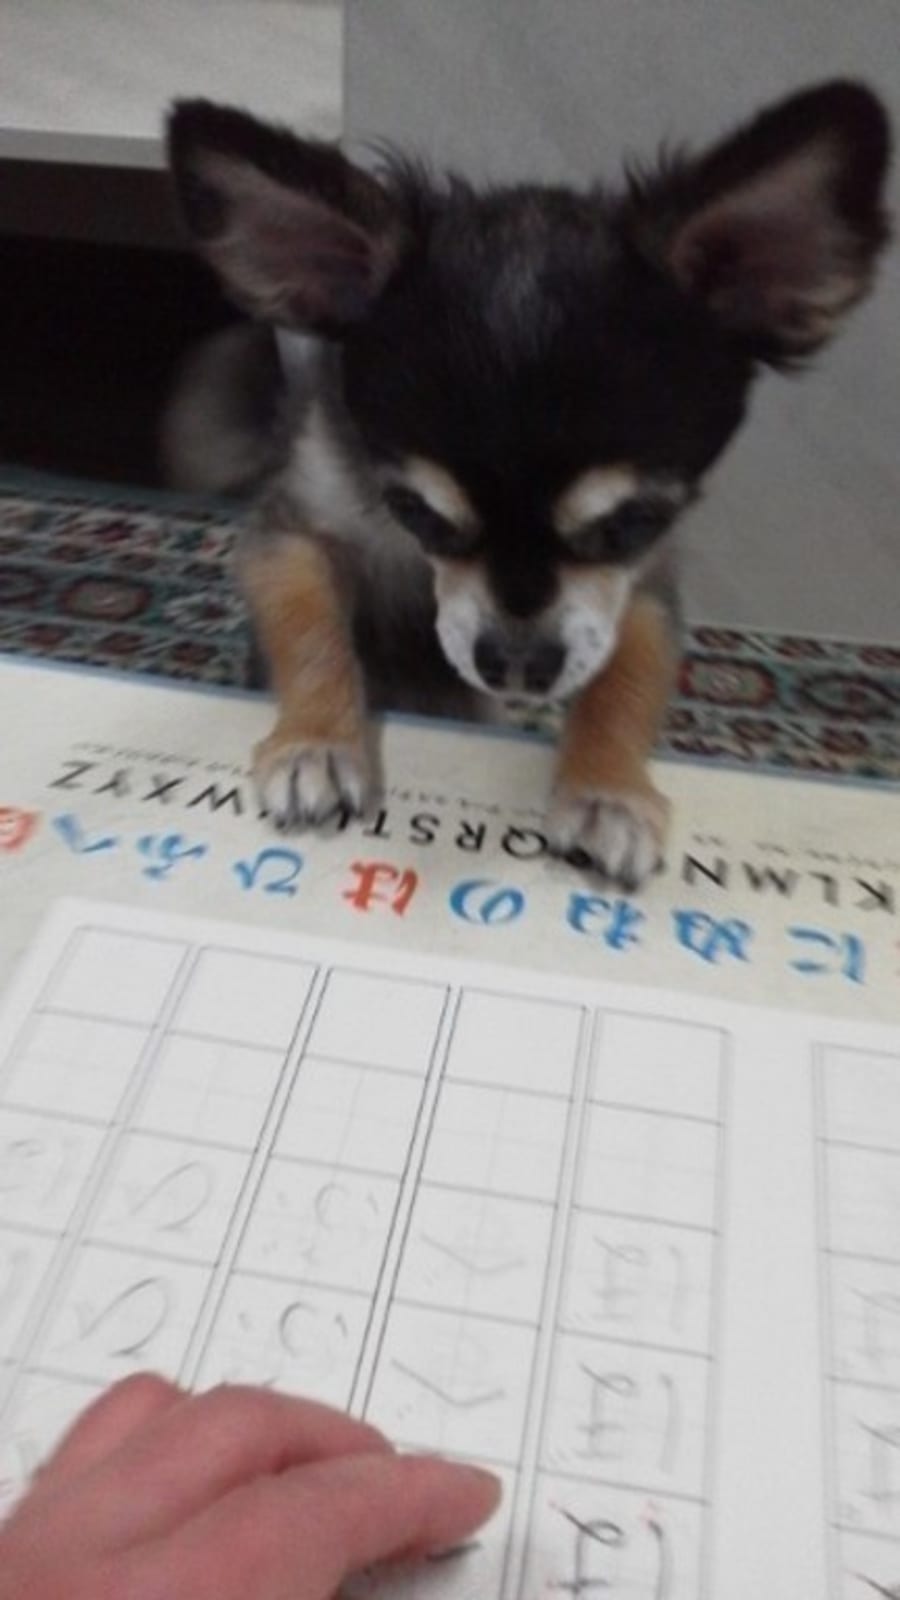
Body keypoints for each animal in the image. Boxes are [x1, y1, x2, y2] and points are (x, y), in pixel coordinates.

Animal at [164, 80, 891, 889]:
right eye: (416, 514)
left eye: (631, 525)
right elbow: (310, 626)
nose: (516, 663)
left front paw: (609, 792)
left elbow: (625, 677)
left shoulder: (642, 586)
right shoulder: (294, 528)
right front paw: (315, 744)